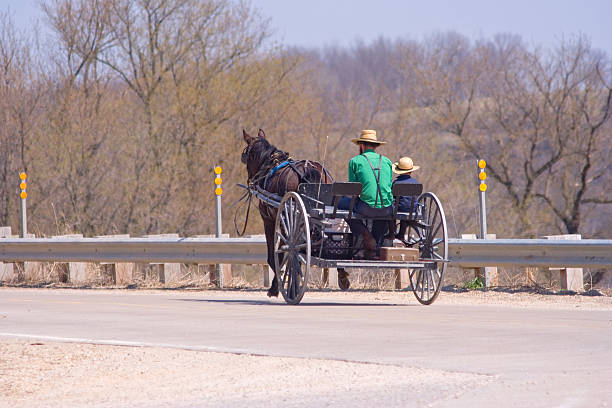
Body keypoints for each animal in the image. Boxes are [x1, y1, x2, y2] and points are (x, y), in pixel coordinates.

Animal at [241, 128, 332, 296]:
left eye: (246, 154)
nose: (250, 180)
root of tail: (309, 168)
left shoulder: (270, 219)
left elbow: (276, 255)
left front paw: (276, 287)